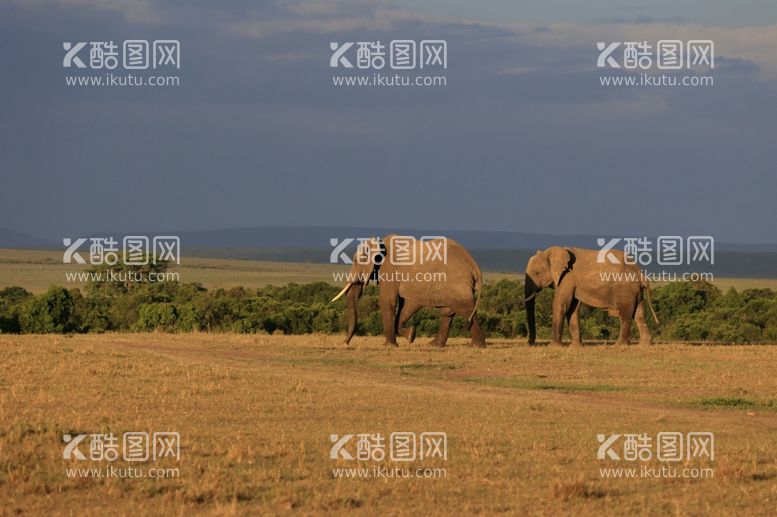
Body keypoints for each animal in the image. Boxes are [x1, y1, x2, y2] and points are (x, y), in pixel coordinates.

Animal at [330, 236, 488, 348]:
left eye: (355, 261)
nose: (345, 342)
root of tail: (474, 264)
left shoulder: (389, 269)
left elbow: (388, 301)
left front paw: (389, 345)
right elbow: (405, 304)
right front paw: (411, 335)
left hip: (456, 281)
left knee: (465, 309)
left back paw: (477, 346)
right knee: (449, 311)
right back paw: (434, 345)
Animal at [524, 247, 656, 346]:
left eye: (537, 273)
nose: (530, 343)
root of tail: (640, 274)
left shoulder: (567, 277)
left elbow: (560, 305)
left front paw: (554, 347)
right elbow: (573, 309)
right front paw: (576, 347)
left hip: (625, 289)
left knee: (625, 315)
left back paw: (618, 345)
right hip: (635, 292)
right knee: (640, 315)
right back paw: (644, 345)